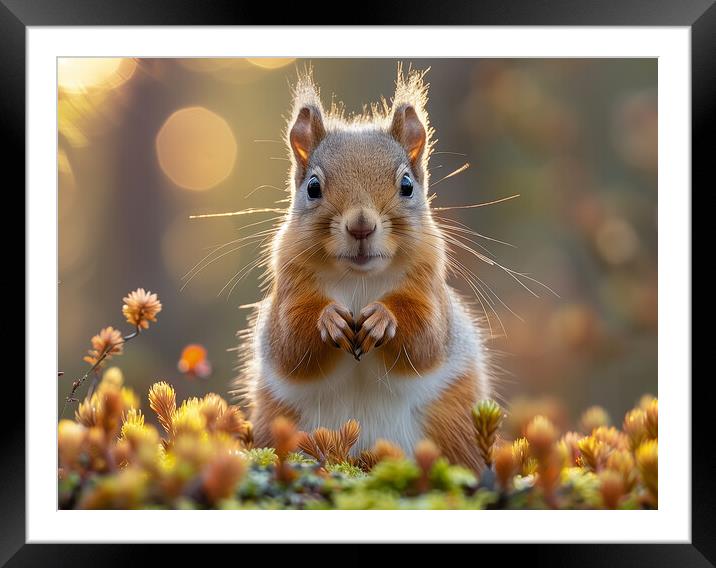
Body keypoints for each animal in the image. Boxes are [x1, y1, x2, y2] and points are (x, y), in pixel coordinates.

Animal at [238, 70, 490, 470]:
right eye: (313, 187)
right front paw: (328, 319)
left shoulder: (430, 290)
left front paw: (383, 318)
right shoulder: (288, 291)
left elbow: (426, 337)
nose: (361, 226)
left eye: (407, 185)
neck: (359, 281)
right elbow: (289, 342)